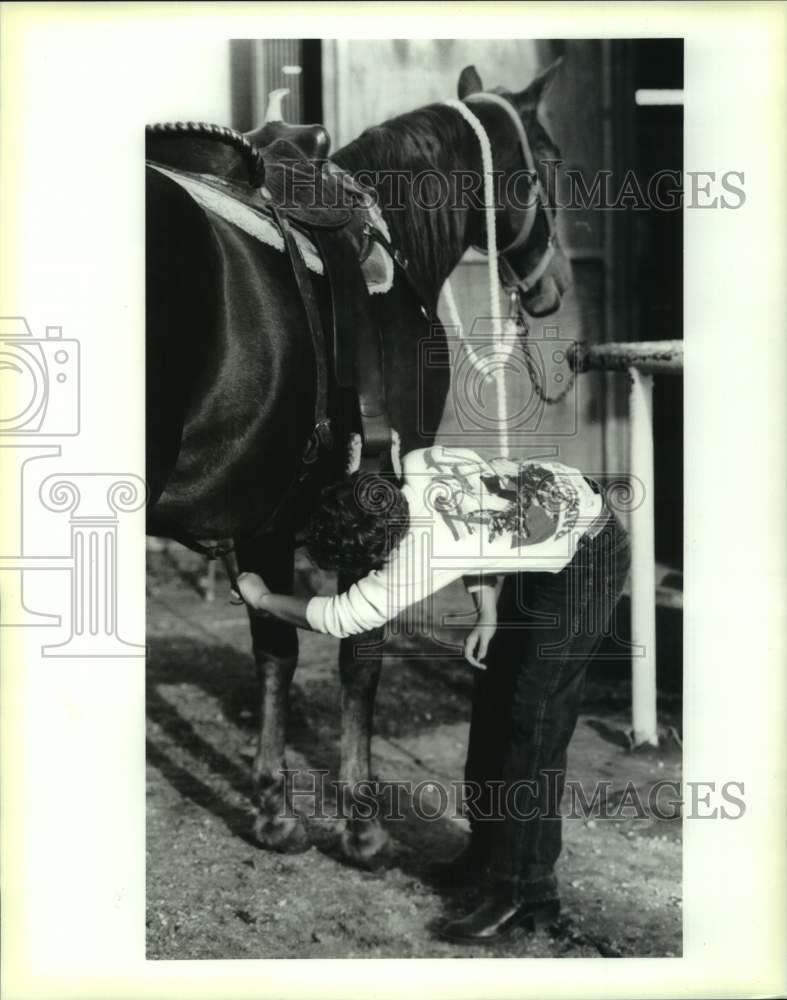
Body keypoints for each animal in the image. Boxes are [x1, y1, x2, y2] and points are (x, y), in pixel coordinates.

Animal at [145, 64, 572, 868]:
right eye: (551, 161)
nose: (554, 284)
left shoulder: (267, 514)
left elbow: (276, 650)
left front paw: (274, 809)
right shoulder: (377, 502)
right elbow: (360, 654)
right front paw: (360, 821)